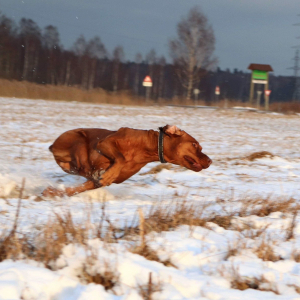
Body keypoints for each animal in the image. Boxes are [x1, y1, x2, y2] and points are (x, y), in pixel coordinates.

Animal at [42, 124, 212, 197]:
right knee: (83, 164)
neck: (147, 147)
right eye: (195, 144)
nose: (210, 161)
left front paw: (55, 192)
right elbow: (120, 158)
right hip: (79, 138)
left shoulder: (101, 182)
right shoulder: (104, 143)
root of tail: (53, 145)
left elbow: (80, 187)